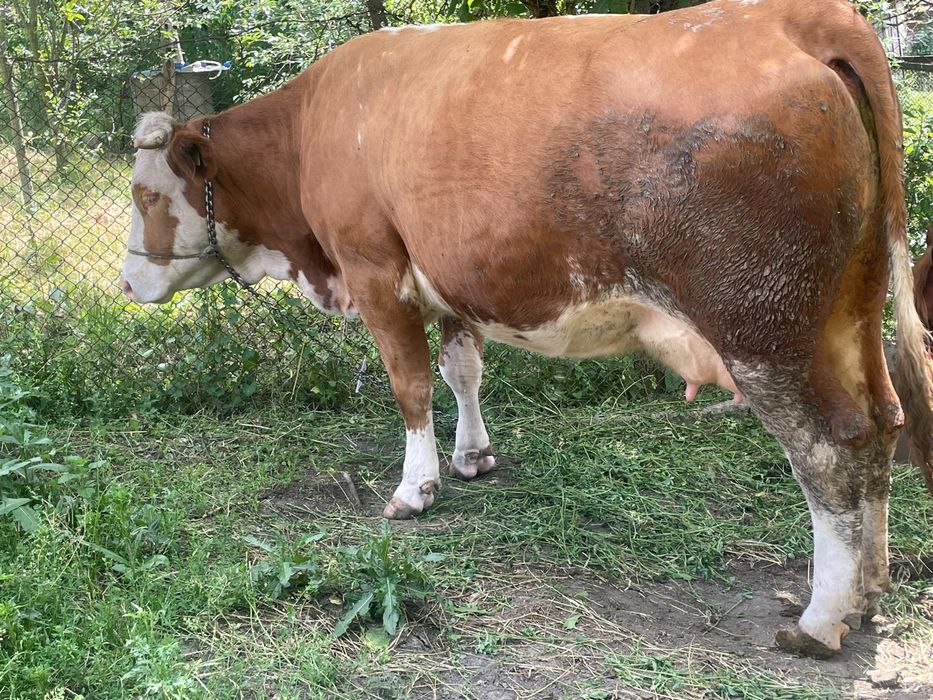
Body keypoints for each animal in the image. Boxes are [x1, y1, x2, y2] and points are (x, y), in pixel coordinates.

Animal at [120, 0, 933, 659]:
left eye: (144, 193)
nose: (127, 284)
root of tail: (800, 18)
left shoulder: (375, 270)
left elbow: (410, 387)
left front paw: (415, 488)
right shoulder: (448, 278)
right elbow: (462, 371)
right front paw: (472, 456)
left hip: (764, 327)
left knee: (828, 448)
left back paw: (820, 619)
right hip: (847, 312)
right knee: (884, 421)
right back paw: (869, 589)